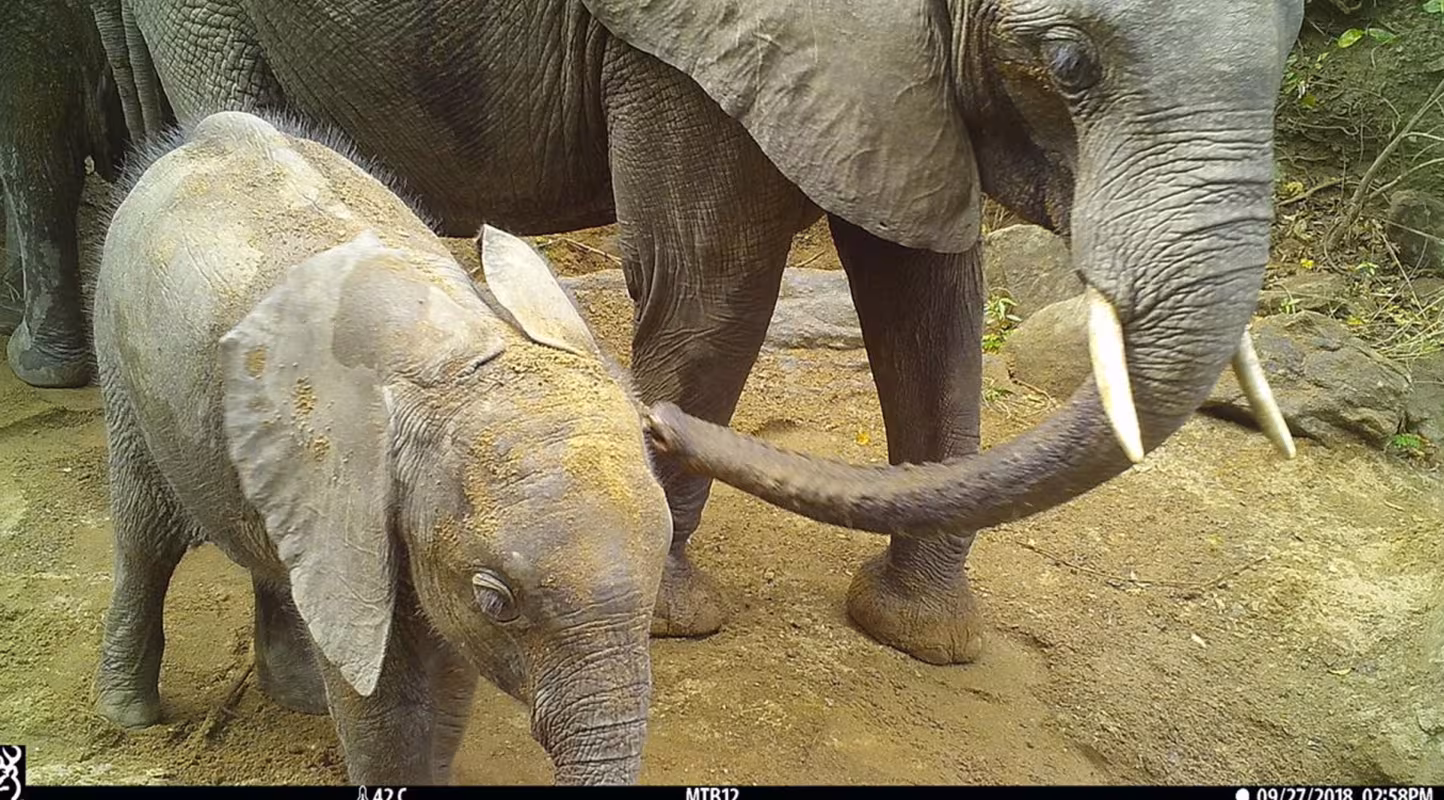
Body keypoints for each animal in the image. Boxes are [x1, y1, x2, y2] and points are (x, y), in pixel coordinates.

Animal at [90, 110, 673, 786]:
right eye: (496, 601)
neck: (462, 359)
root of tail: (205, 133)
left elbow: (448, 672)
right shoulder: (357, 505)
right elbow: (383, 696)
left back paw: (299, 701)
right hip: (119, 357)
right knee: (145, 537)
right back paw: (127, 717)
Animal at [98, 0, 1306, 666]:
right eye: (1068, 63)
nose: (649, 421)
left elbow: (931, 298)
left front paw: (922, 637)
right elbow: (712, 279)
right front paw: (675, 621)